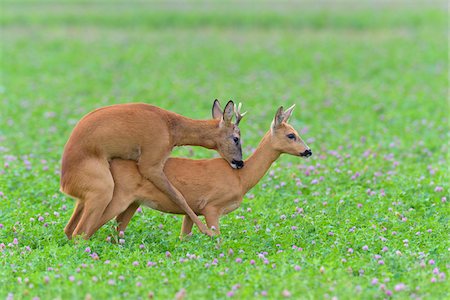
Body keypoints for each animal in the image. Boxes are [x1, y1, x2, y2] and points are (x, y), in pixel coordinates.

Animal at [60, 101, 244, 239]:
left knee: (69, 230)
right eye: (236, 138)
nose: (240, 163)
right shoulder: (150, 166)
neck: (169, 126)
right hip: (103, 190)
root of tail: (64, 184)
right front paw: (207, 231)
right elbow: (179, 197)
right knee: (79, 233)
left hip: (86, 198)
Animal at [88, 105, 312, 237]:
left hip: (131, 204)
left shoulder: (193, 210)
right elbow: (218, 239)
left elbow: (184, 238)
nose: (308, 151)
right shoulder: (212, 207)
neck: (241, 179)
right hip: (117, 199)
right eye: (291, 135)